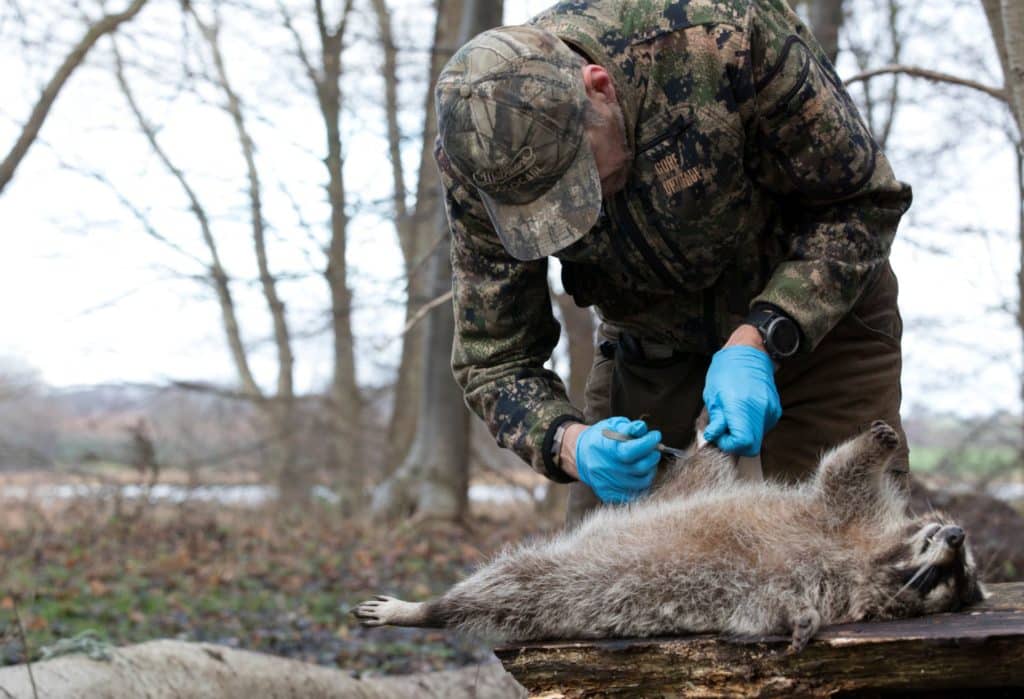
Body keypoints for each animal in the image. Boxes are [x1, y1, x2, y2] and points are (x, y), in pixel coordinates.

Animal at [352, 417, 983, 654]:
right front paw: (875, 444)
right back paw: (427, 608)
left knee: (510, 594)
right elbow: (839, 476)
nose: (956, 531)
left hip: (563, 590)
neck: (871, 554)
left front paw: (799, 618)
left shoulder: (815, 582)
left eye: (955, 576)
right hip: (656, 503)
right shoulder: (841, 516)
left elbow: (767, 605)